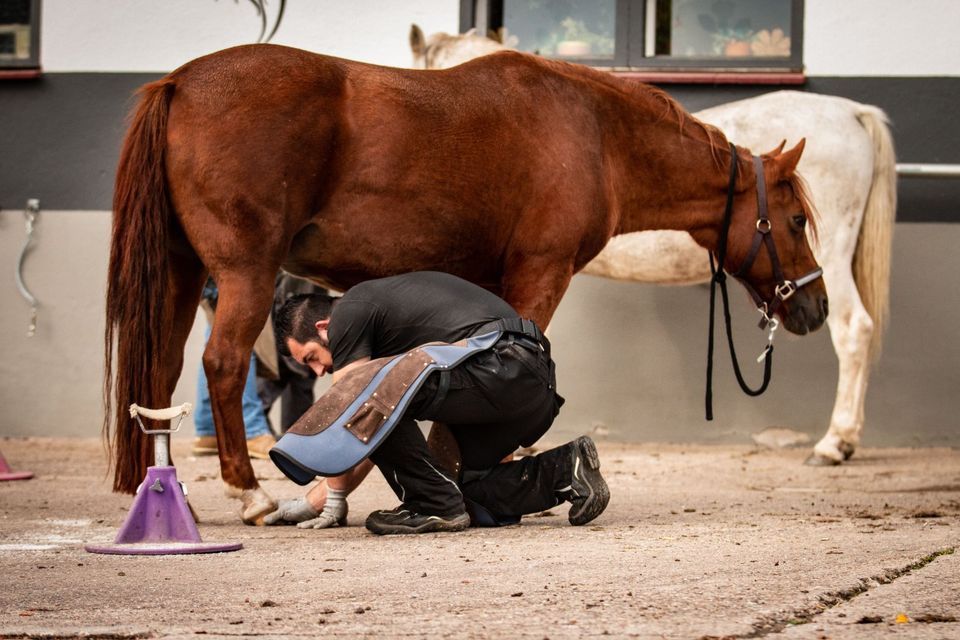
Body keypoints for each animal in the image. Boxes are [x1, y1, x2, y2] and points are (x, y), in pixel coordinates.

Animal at [103, 46, 824, 524]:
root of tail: (179, 82)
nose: (814, 306)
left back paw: (164, 490)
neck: (594, 133)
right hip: (244, 273)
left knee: (158, 375)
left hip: (180, 272)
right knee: (223, 365)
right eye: (794, 219)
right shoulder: (541, 272)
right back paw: (250, 494)